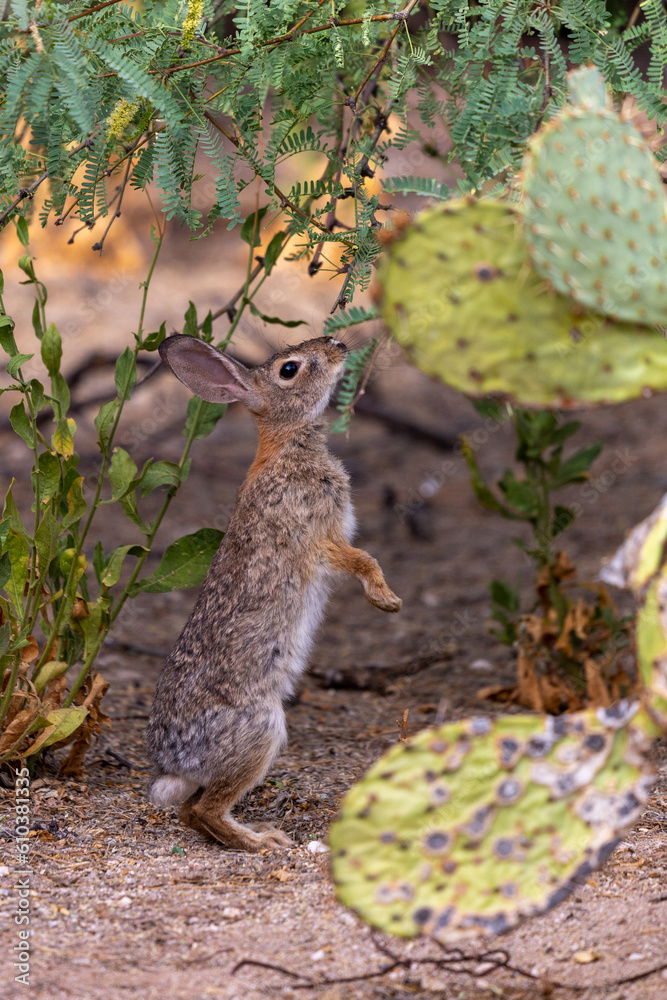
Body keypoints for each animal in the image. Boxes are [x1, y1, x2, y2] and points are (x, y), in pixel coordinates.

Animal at [144, 334, 401, 852]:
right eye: (290, 369)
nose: (338, 343)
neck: (285, 442)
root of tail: (175, 764)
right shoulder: (321, 538)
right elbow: (365, 560)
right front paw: (385, 600)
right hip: (261, 731)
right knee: (205, 809)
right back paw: (264, 843)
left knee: (189, 813)